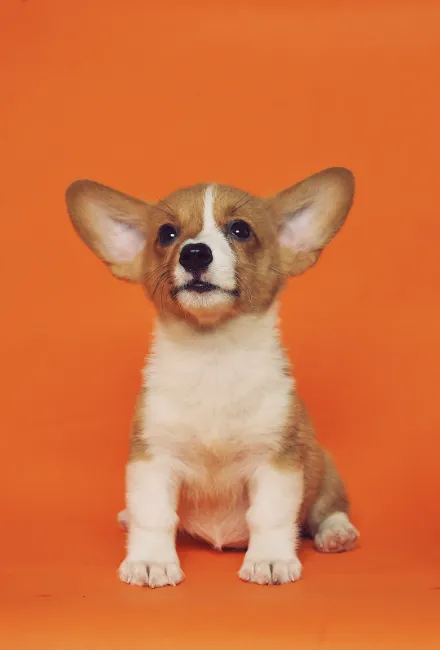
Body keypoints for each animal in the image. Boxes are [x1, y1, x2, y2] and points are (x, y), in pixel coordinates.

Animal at [66, 167, 360, 588]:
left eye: (240, 229)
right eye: (167, 234)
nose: (194, 253)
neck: (213, 356)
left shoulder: (275, 461)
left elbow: (270, 516)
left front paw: (269, 559)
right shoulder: (153, 460)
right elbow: (153, 515)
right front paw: (151, 561)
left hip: (324, 469)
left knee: (328, 508)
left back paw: (337, 533)